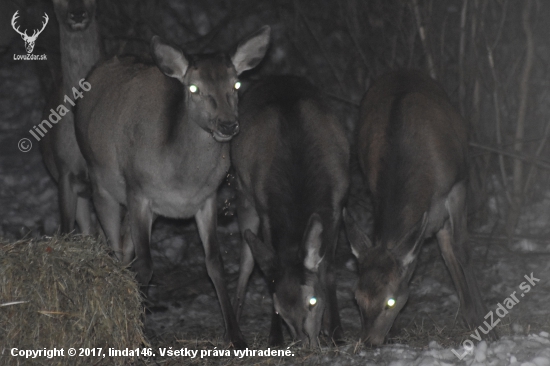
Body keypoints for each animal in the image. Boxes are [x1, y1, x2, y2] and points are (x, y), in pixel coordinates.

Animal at [74, 26, 272, 348]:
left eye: (236, 83)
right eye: (193, 88)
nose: (228, 125)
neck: (181, 179)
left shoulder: (207, 198)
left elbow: (214, 262)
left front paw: (235, 335)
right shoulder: (138, 191)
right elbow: (146, 265)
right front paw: (142, 333)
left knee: (124, 247)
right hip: (101, 182)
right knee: (114, 246)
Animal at [232, 76, 350, 348]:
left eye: (312, 301)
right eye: (280, 310)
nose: (304, 342)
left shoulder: (338, 203)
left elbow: (328, 268)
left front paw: (337, 332)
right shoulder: (265, 208)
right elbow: (269, 274)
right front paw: (274, 336)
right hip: (244, 199)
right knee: (246, 263)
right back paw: (234, 327)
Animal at [344, 69, 500, 346]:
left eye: (390, 301)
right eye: (357, 297)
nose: (369, 341)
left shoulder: (458, 183)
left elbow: (463, 249)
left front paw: (486, 323)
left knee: (451, 246)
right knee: (445, 246)